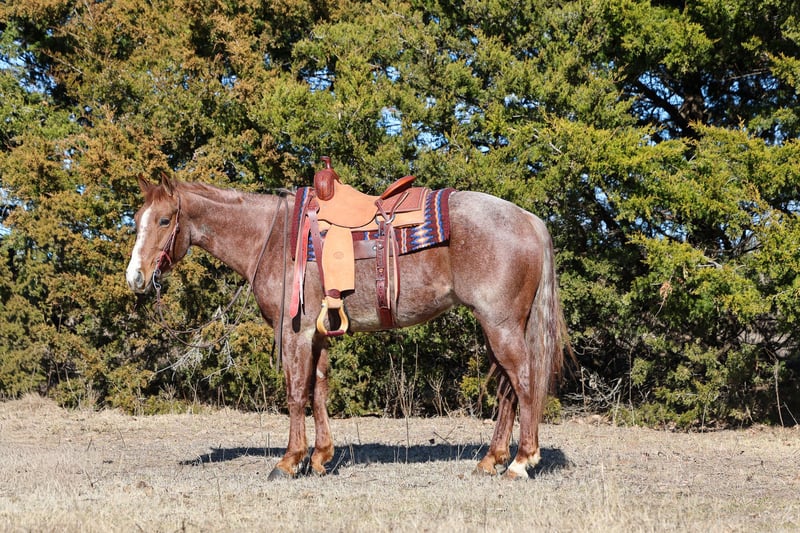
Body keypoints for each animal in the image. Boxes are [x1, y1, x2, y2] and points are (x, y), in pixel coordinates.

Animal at [125, 172, 568, 479]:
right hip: (497, 325)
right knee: (508, 388)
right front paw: (320, 457)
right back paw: (491, 460)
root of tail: (528, 219)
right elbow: (318, 389)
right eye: (137, 220)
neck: (273, 238)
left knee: (524, 381)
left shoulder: (295, 332)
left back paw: (521, 462)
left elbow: (295, 392)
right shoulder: (319, 334)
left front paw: (289, 461)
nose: (136, 278)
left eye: (163, 220)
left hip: (501, 324)